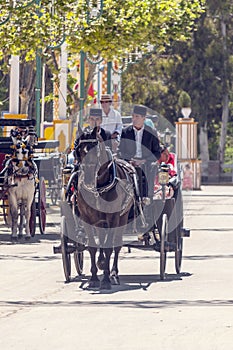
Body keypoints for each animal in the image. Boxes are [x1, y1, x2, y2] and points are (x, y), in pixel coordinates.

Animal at [73, 127, 136, 288]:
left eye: (95, 150)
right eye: (78, 150)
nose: (88, 179)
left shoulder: (113, 218)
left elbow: (108, 247)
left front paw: (106, 279)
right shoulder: (87, 218)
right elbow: (92, 246)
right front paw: (94, 278)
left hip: (122, 218)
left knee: (116, 244)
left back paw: (113, 274)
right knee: (101, 239)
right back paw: (101, 263)